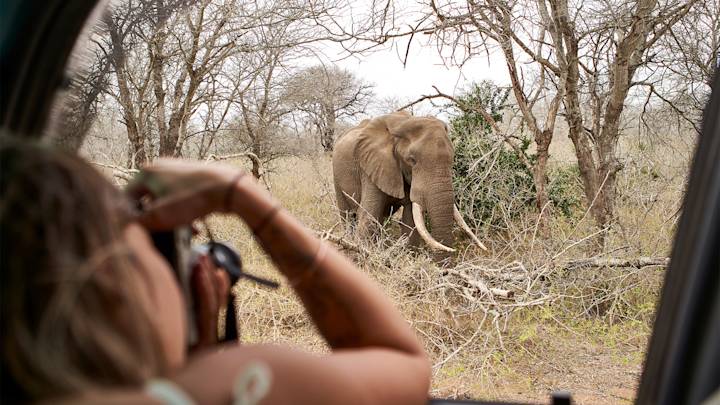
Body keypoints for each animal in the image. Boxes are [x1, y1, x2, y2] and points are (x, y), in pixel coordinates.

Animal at [332, 110, 486, 253]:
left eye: (453, 158)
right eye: (411, 160)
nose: (453, 251)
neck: (402, 124)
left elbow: (410, 221)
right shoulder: (371, 167)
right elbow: (368, 217)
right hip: (336, 175)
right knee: (347, 214)